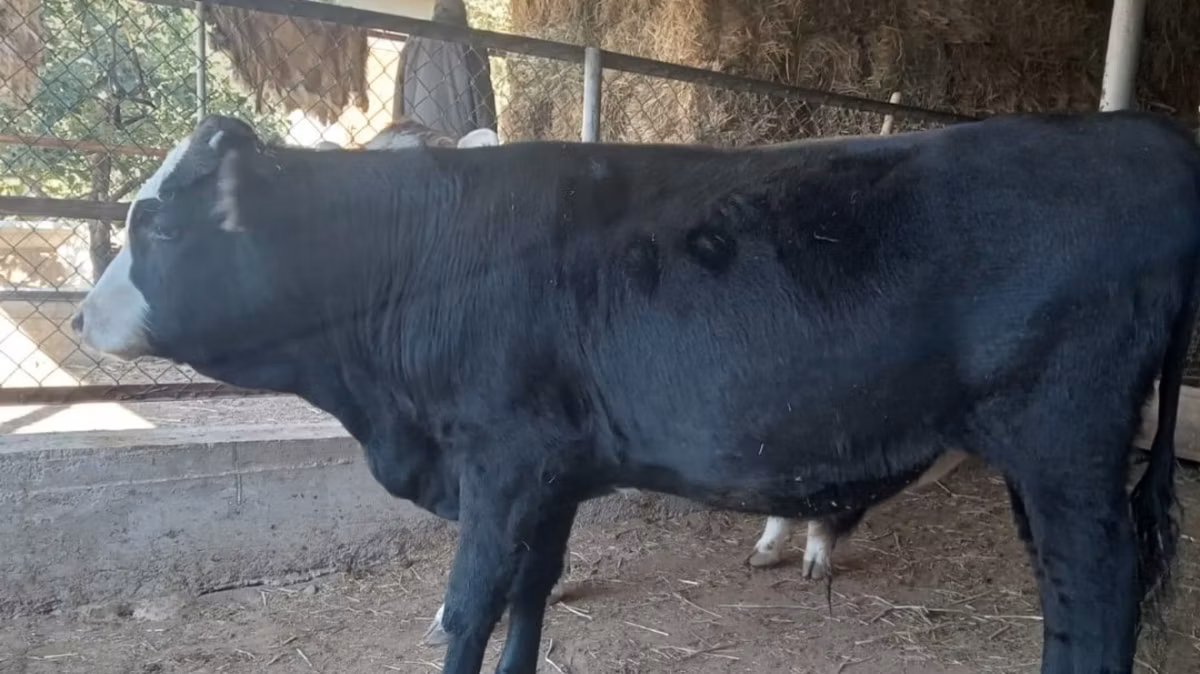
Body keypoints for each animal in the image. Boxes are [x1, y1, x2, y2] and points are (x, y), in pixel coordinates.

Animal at [72, 110, 1198, 674]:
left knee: (1095, 587)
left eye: (150, 220)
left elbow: (466, 609)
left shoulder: (499, 459)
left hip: (1064, 439)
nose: (81, 319)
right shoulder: (554, 474)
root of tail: (1135, 129)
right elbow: (531, 594)